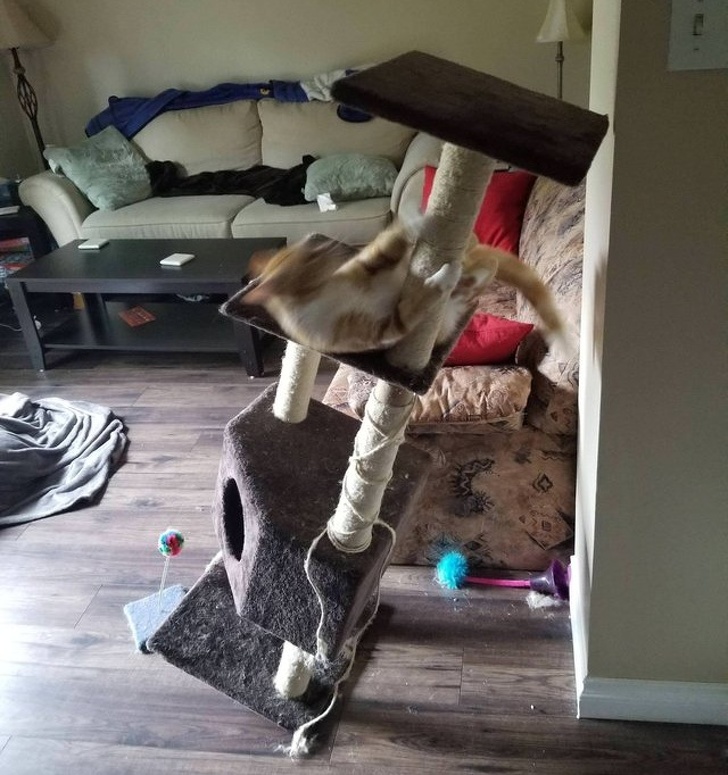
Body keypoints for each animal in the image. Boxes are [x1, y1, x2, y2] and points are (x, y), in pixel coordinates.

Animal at [239, 219, 566, 355]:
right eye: (311, 255)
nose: (324, 242)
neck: (319, 297)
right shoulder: (384, 329)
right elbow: (414, 305)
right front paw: (441, 279)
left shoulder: (364, 267)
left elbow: (382, 250)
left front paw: (415, 220)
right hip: (450, 315)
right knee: (480, 275)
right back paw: (458, 275)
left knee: (483, 259)